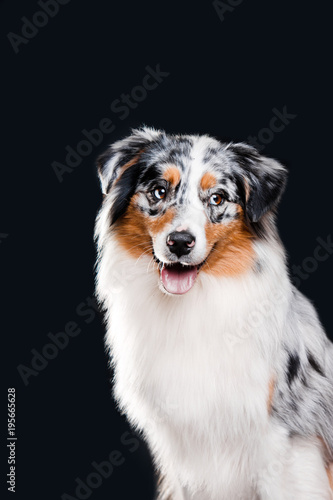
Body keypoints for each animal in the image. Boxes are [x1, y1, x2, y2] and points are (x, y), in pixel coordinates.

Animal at [94, 128, 332, 500]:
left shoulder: (288, 440)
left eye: (218, 198)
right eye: (159, 191)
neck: (191, 305)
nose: (179, 242)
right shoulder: (181, 451)